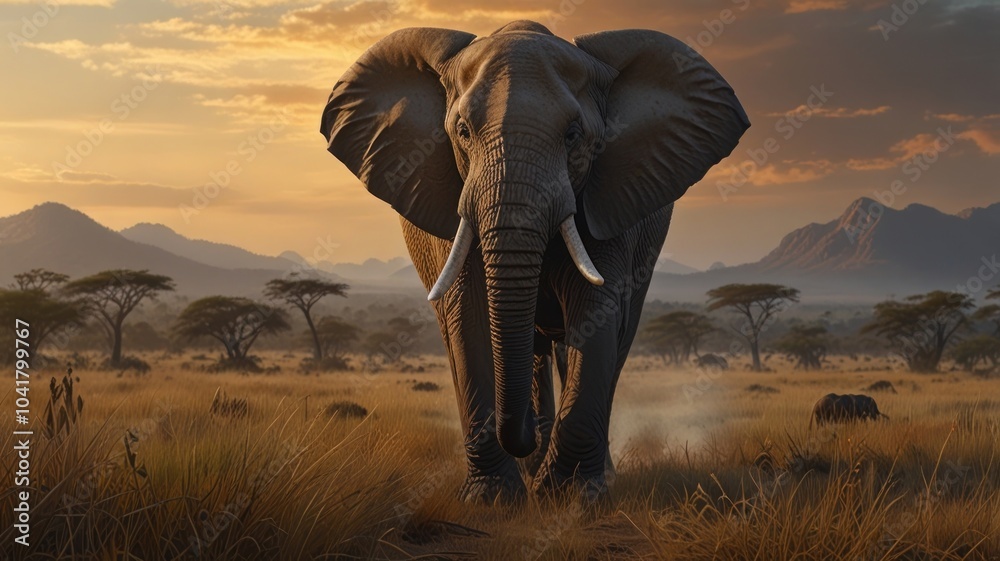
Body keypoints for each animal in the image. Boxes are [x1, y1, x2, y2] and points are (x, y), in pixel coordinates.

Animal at [321, 20, 749, 502]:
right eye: (463, 131)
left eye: (573, 135)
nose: (523, 436)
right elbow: (468, 316)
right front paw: (493, 498)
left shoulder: (609, 198)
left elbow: (596, 313)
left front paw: (571, 496)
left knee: (609, 341)